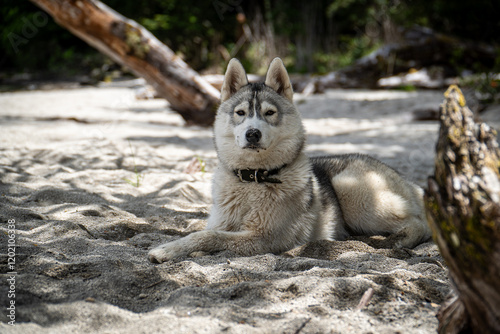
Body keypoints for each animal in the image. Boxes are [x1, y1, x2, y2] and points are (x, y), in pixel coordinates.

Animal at [147, 57, 430, 262]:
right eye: (240, 113)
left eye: (270, 113)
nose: (252, 133)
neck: (252, 181)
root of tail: (407, 181)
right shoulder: (225, 222)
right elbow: (205, 230)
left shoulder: (265, 238)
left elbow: (208, 236)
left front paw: (167, 250)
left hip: (352, 190)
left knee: (420, 223)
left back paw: (398, 241)